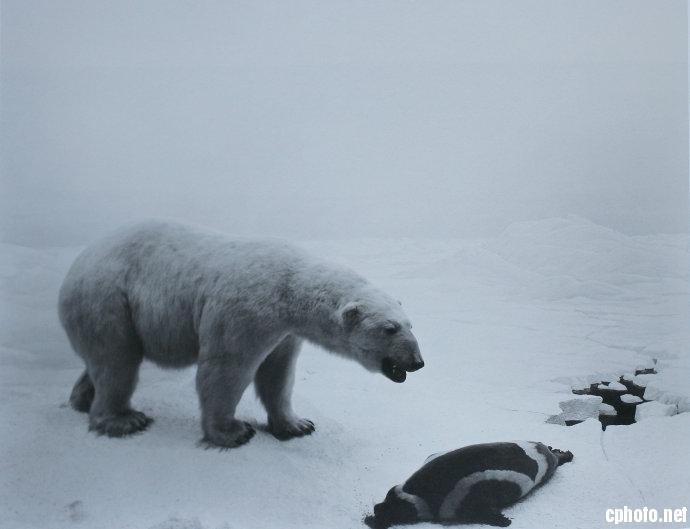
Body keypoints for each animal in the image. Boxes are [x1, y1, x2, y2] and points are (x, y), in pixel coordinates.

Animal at [59, 221, 422, 448]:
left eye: (410, 324)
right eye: (389, 329)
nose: (417, 362)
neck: (290, 288)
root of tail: (77, 264)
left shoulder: (285, 331)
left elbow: (278, 374)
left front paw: (297, 425)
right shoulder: (246, 310)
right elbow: (226, 368)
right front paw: (233, 432)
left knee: (104, 360)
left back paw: (82, 399)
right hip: (108, 300)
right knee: (117, 360)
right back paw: (123, 420)